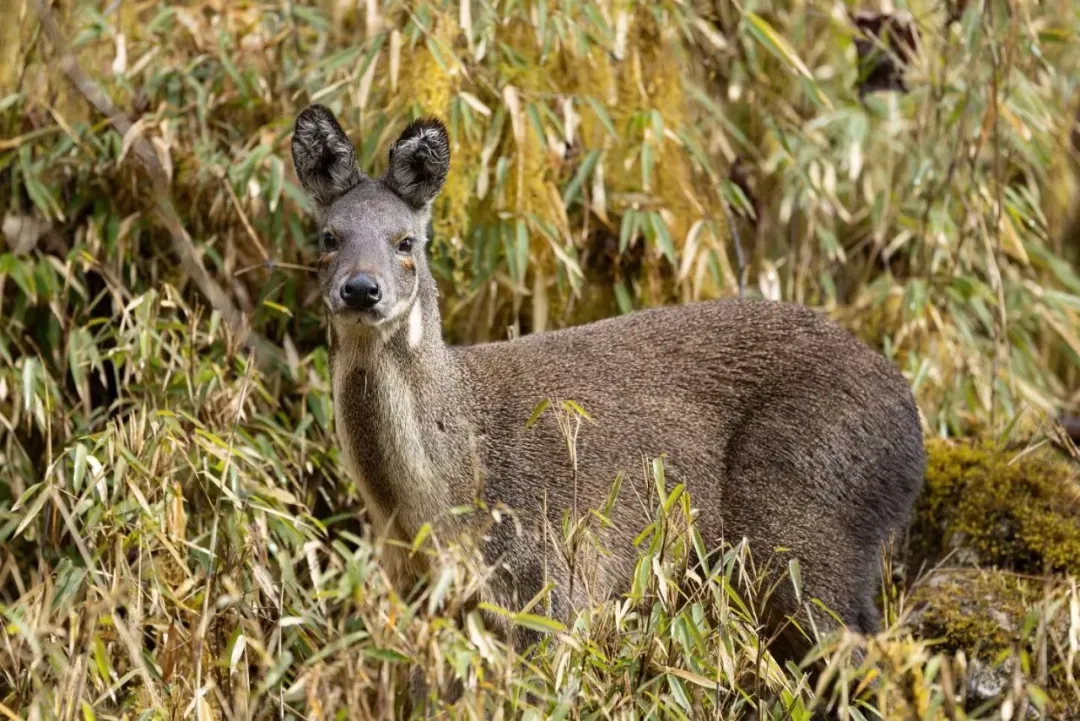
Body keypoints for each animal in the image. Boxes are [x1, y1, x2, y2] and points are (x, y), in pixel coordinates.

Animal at [290, 103, 926, 693]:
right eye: (328, 237)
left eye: (407, 242)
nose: (361, 289)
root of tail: (913, 430)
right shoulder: (426, 602)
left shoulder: (557, 586)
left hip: (801, 528)